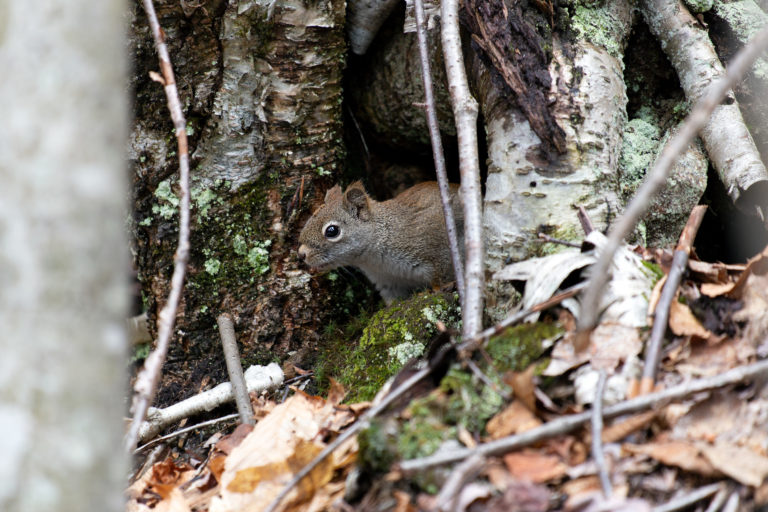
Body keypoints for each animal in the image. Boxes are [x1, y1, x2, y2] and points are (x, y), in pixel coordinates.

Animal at [296, 181, 464, 302]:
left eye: (332, 231)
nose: (301, 254)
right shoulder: (388, 282)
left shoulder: (437, 252)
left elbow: (440, 278)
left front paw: (440, 289)